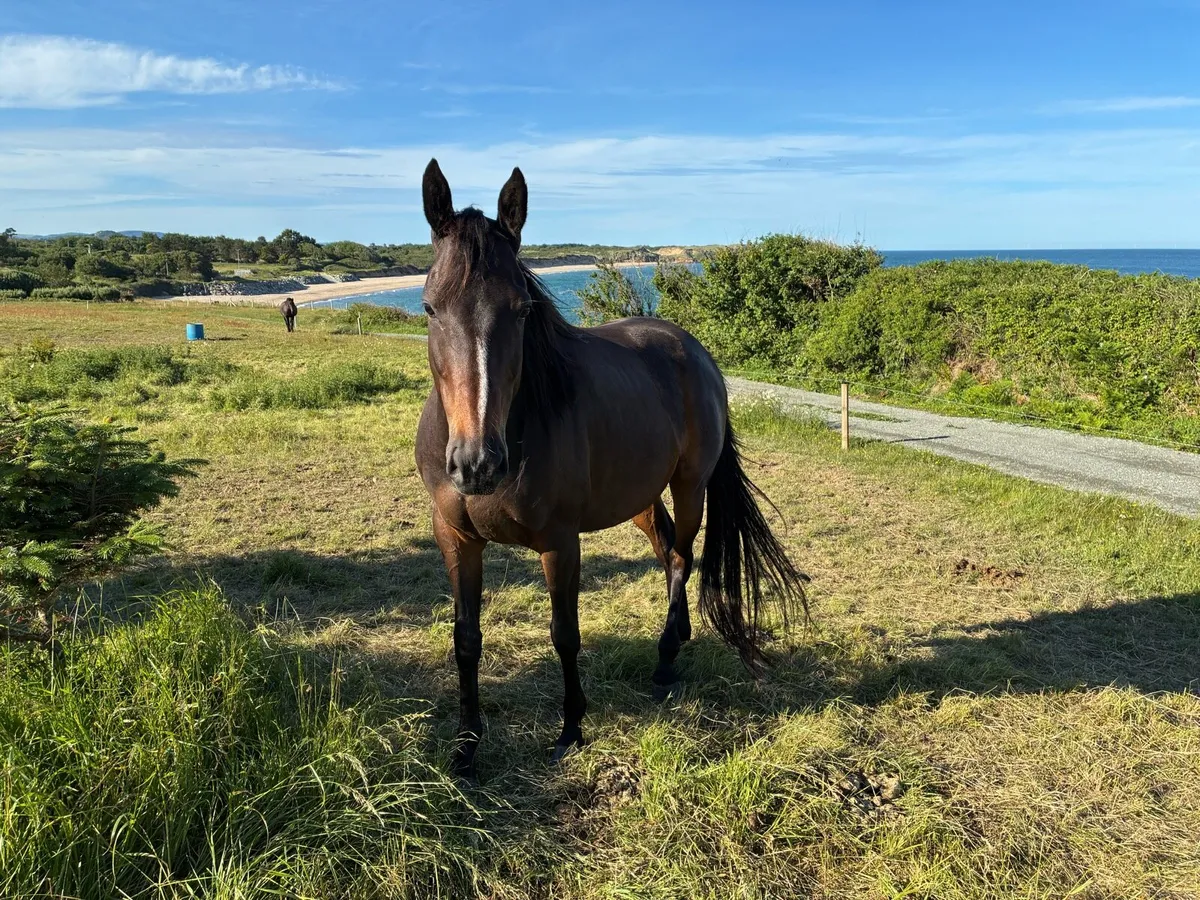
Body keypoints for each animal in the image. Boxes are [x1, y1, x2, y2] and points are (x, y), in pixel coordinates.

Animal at [414, 159, 808, 778]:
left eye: (521, 310)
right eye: (430, 307)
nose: (478, 465)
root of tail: (695, 351)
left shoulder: (560, 543)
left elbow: (564, 633)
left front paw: (571, 729)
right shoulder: (455, 538)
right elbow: (466, 639)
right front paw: (466, 746)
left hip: (689, 486)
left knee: (682, 556)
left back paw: (666, 662)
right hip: (641, 497)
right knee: (666, 550)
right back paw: (679, 635)